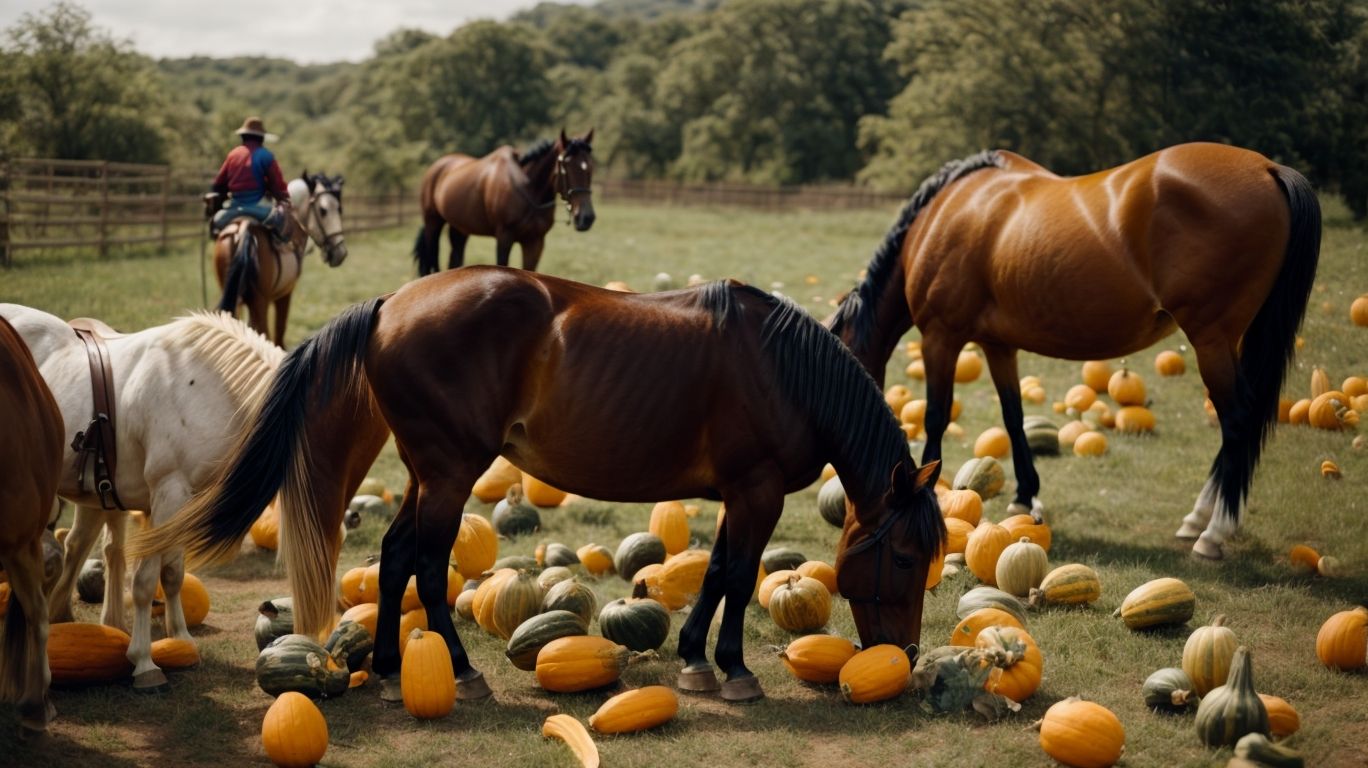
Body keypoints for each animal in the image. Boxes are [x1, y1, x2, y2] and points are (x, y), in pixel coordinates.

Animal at [0, 304, 285, 690]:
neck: (209, 386)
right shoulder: (168, 493)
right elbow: (146, 581)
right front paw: (144, 663)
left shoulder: (183, 503)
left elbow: (173, 573)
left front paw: (181, 639)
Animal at [132, 266, 945, 704]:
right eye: (906, 557)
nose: (902, 656)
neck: (782, 368)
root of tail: (391, 304)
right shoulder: (758, 491)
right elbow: (738, 577)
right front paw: (732, 668)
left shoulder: (742, 497)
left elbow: (715, 571)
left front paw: (695, 660)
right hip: (450, 474)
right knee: (427, 566)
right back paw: (462, 673)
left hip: (429, 475)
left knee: (394, 559)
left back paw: (394, 670)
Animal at [214, 171, 348, 347]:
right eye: (323, 210)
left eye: (339, 208)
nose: (341, 252)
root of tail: (242, 230)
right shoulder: (285, 294)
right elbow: (279, 332)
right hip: (260, 302)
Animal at [413, 130, 596, 276]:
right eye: (566, 166)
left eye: (591, 166)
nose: (586, 217)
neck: (529, 190)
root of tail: (437, 167)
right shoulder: (504, 237)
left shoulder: (535, 242)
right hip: (433, 223)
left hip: (459, 229)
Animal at [827, 142, 1320, 560]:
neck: (947, 209)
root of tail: (1268, 169)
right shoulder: (998, 345)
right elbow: (1013, 417)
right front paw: (1024, 496)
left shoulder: (940, 337)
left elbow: (935, 417)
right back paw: (1197, 519)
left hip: (1211, 340)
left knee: (1237, 422)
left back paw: (1212, 534)